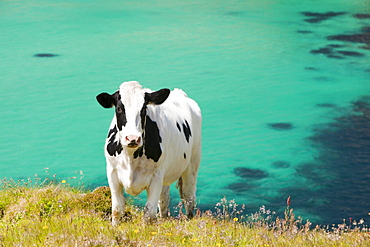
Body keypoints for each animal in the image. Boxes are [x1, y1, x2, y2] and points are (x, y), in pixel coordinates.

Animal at [94, 81, 199, 226]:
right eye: (119, 108)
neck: (130, 158)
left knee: (189, 198)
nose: (132, 138)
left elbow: (149, 213)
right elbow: (117, 209)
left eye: (143, 109)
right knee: (164, 200)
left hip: (192, 162)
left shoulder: (156, 176)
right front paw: (114, 227)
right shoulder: (112, 171)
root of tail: (179, 93)